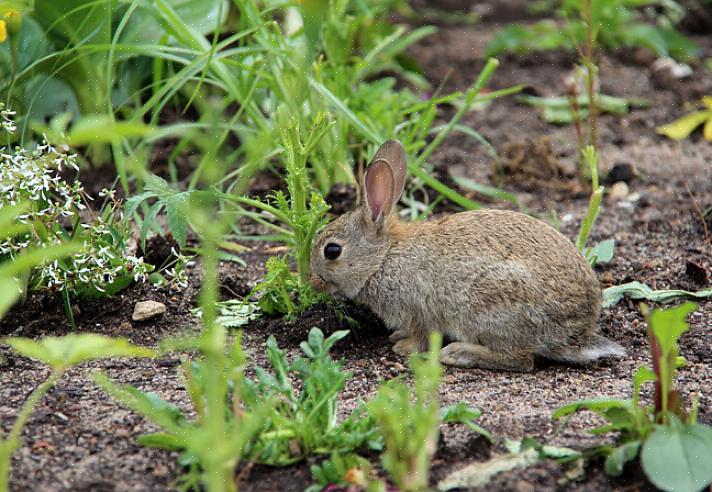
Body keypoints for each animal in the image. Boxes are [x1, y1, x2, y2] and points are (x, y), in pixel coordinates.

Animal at [308, 138, 624, 368]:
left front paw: (403, 347)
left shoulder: (416, 309)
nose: (312, 282)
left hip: (490, 306)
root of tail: (575, 335)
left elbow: (421, 336)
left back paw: (457, 353)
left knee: (521, 360)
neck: (383, 257)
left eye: (332, 251)